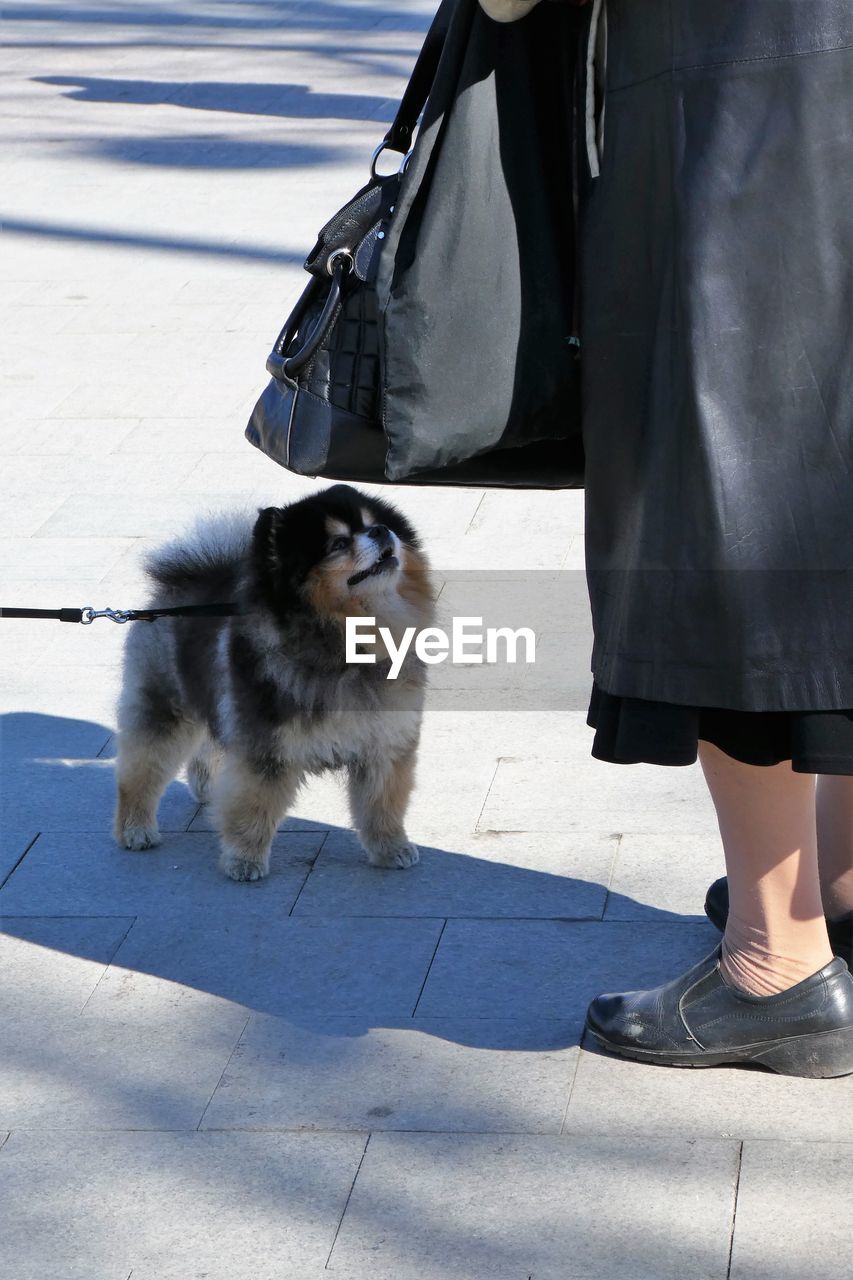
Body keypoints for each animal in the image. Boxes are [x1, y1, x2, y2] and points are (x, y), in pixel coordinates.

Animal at [112, 481, 432, 880]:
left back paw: (205, 788)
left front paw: (391, 849)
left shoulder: (383, 744)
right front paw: (244, 860)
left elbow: (382, 805)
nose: (381, 531)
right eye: (339, 543)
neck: (346, 639)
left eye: (374, 522)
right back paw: (135, 828)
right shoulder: (265, 748)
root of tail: (184, 580)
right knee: (140, 769)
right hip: (165, 707)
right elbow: (253, 807)